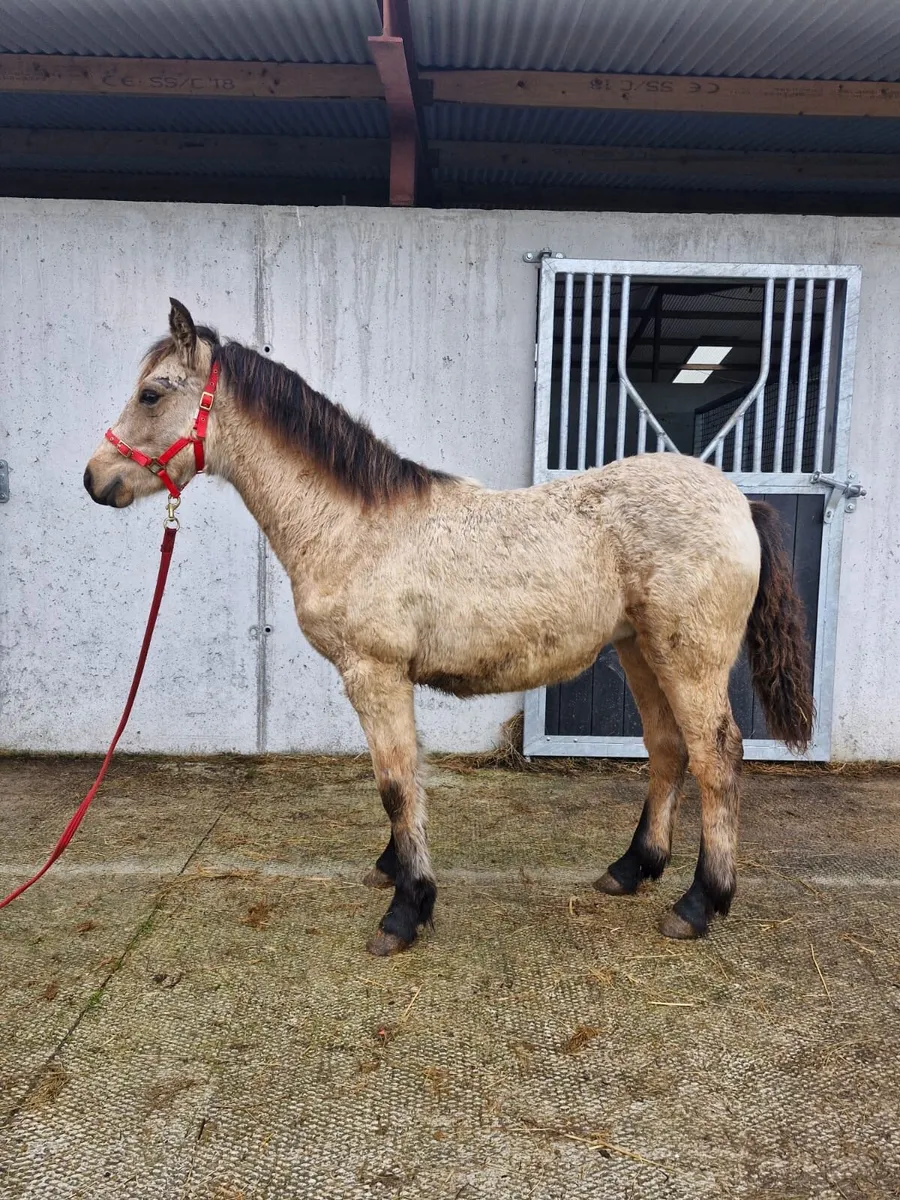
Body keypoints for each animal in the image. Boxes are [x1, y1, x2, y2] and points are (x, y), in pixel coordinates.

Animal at [84, 299, 814, 957]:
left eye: (151, 394)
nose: (95, 480)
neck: (354, 525)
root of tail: (738, 502)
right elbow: (404, 776)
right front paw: (393, 872)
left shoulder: (374, 673)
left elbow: (394, 783)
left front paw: (407, 910)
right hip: (640, 650)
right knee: (667, 750)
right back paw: (633, 869)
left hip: (690, 659)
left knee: (717, 756)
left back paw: (699, 902)